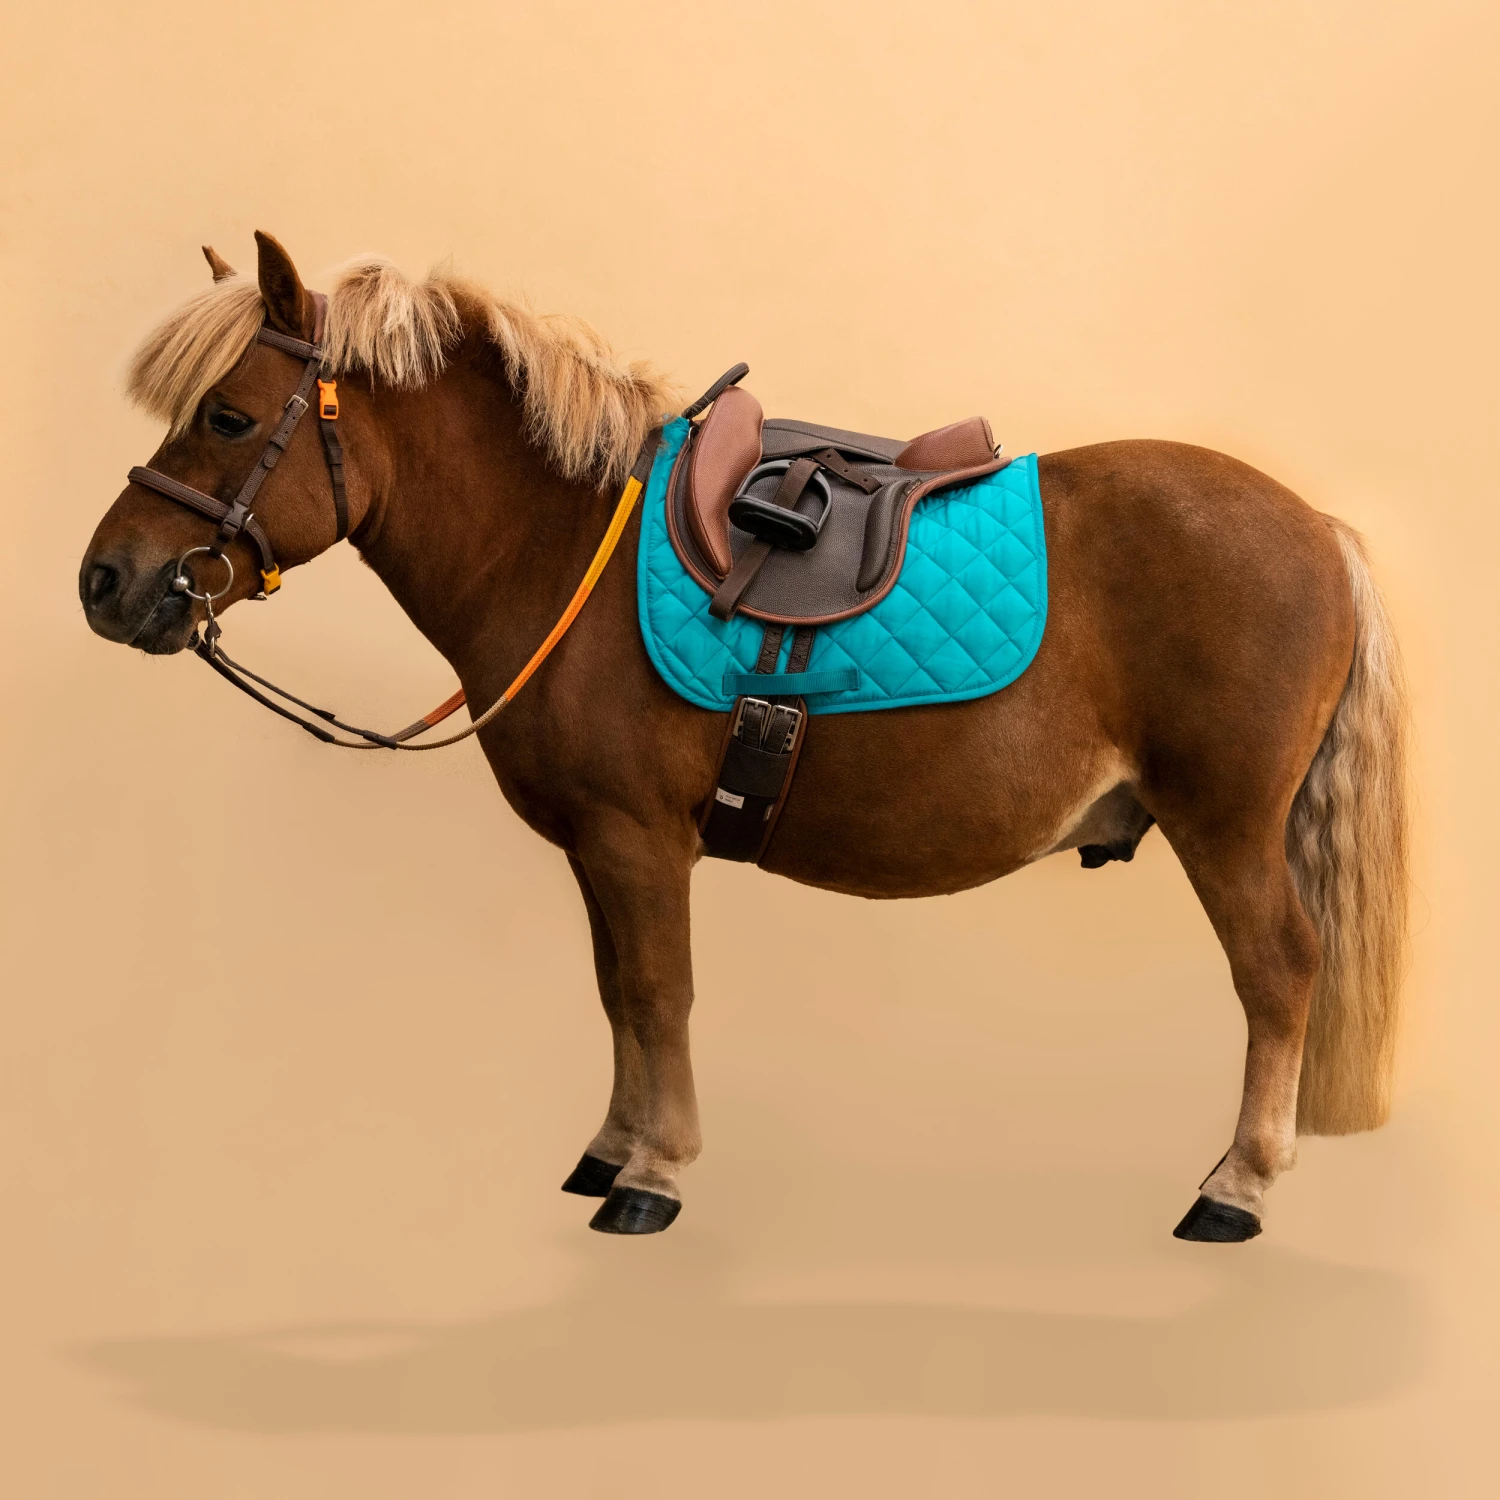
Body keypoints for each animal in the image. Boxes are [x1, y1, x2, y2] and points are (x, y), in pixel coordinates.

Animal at [79, 231, 1409, 1241]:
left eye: (226, 415)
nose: (106, 581)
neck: (563, 546)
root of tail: (1320, 528)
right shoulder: (597, 849)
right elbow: (616, 991)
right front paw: (612, 1147)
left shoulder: (637, 839)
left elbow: (659, 991)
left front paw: (655, 1176)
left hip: (1227, 827)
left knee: (1279, 973)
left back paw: (1236, 1190)